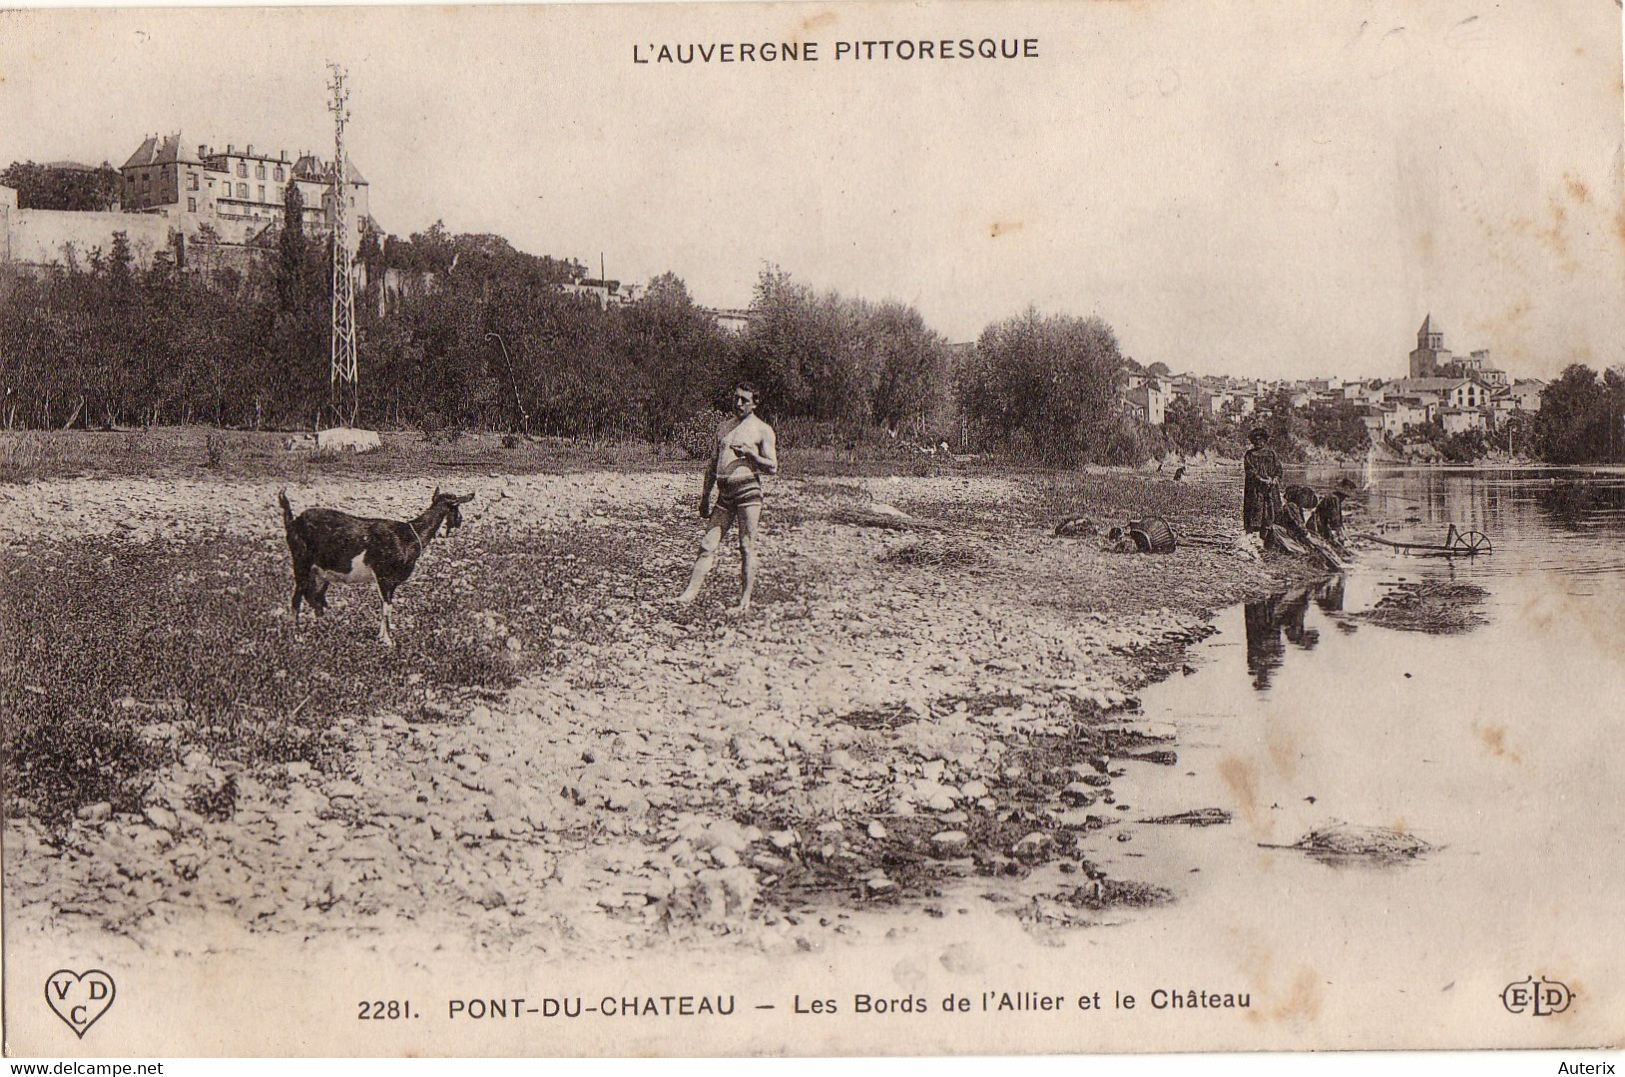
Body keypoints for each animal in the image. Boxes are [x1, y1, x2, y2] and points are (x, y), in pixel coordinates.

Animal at [276, 487, 471, 649]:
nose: (460, 521)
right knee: (297, 599)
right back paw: (297, 636)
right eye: (457, 506)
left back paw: (324, 627)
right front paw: (388, 640)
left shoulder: (390, 582)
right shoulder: (384, 577)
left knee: (313, 597)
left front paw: (381, 636)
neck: (409, 536)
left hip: (319, 573)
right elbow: (387, 607)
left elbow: (385, 605)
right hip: (301, 563)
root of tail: (293, 522)